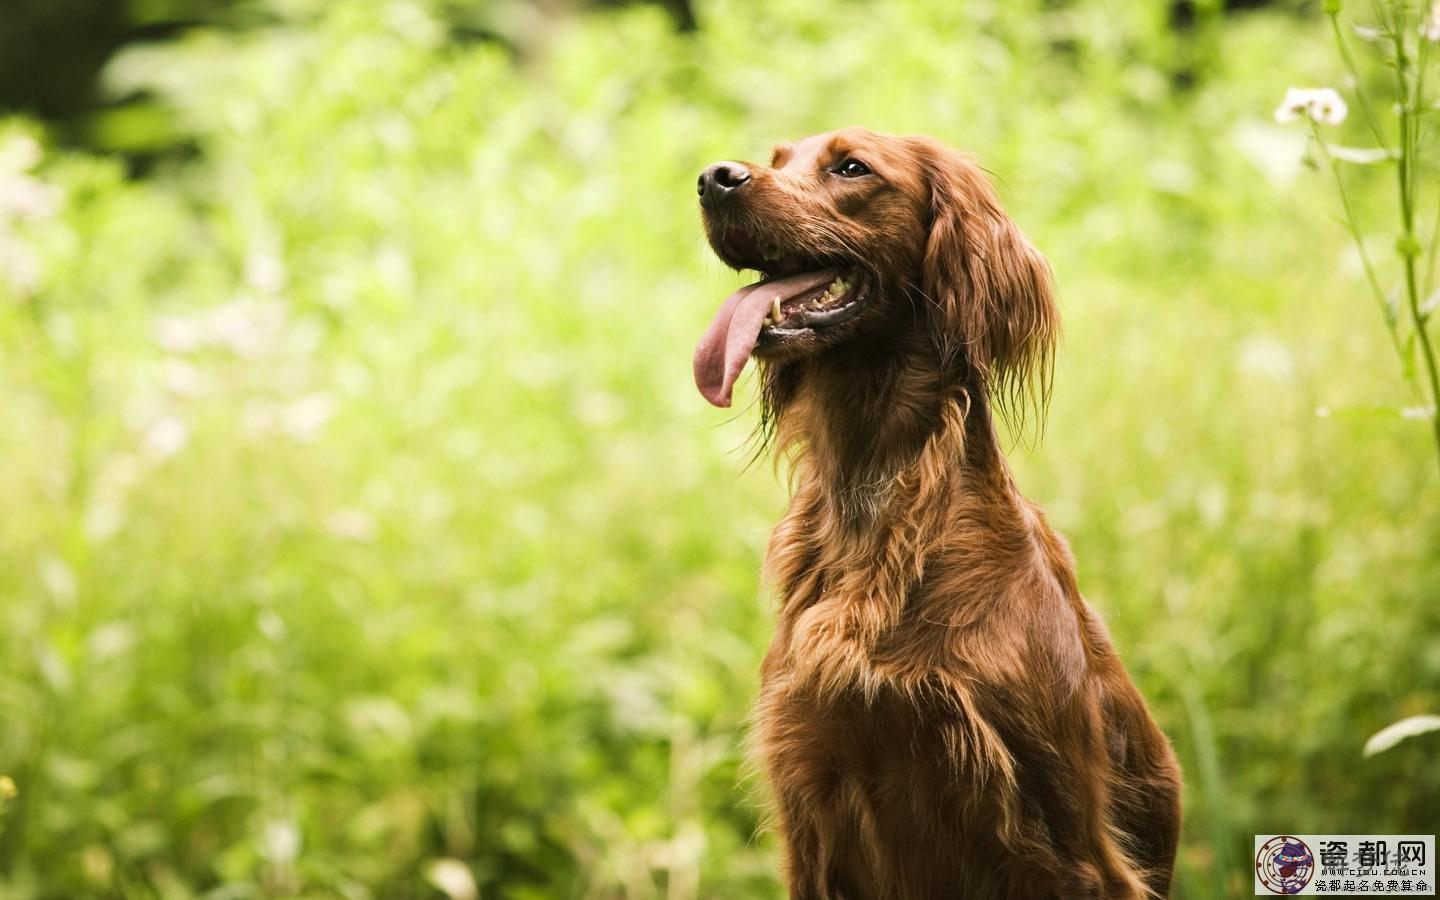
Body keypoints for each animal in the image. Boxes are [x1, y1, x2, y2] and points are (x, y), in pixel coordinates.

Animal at [691, 128, 1175, 898]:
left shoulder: (1069, 845)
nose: (714, 178)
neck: (876, 506)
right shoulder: (812, 806)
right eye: (776, 160)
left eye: (851, 167)